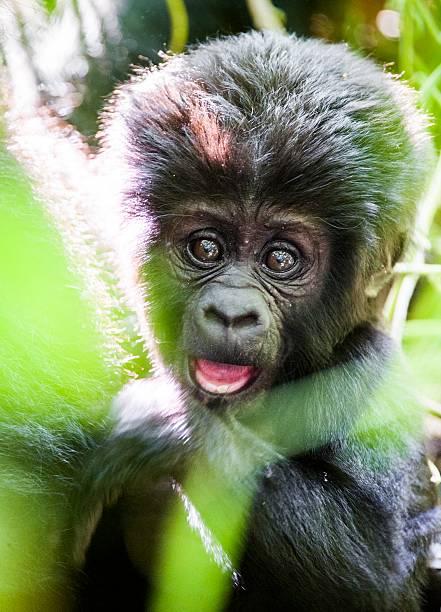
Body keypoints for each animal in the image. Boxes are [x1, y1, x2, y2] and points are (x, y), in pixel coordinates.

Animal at [76, 29, 440, 612]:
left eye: (281, 259)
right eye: (205, 247)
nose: (231, 312)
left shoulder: (369, 371)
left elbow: (378, 569)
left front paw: (171, 428)